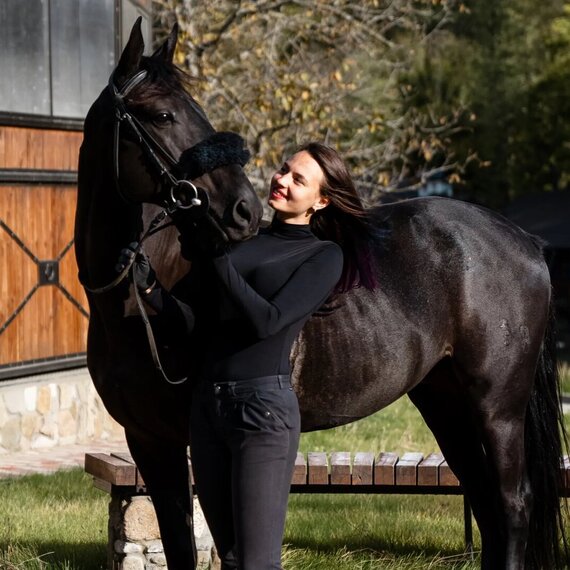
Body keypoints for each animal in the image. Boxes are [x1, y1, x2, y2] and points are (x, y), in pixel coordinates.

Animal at [76, 17, 564, 568]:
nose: (243, 209)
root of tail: (525, 241)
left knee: (512, 502)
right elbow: (179, 545)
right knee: (484, 500)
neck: (133, 312)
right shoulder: (149, 442)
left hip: (497, 407)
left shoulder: (192, 441)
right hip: (446, 402)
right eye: (162, 115)